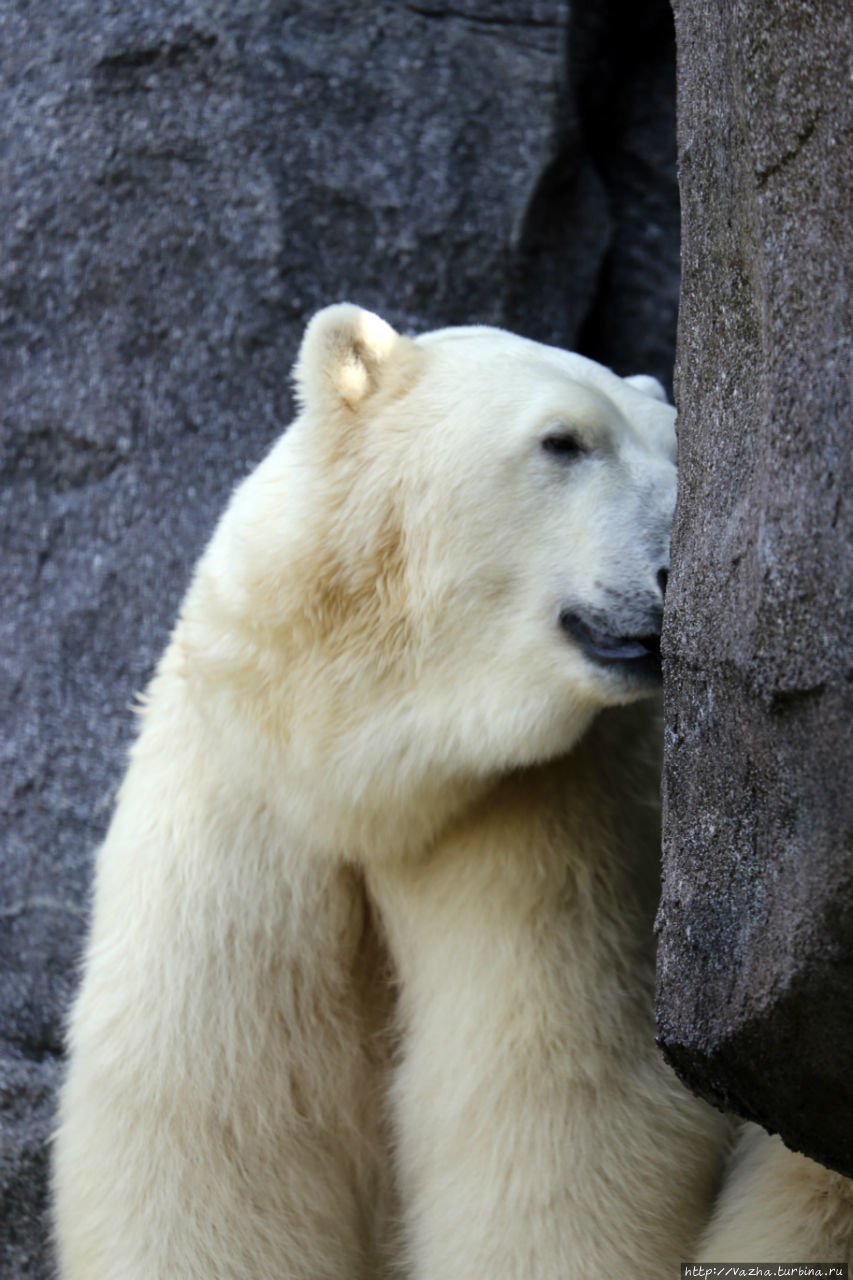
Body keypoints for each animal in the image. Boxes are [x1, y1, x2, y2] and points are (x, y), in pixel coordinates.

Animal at [54, 304, 850, 1274]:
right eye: (561, 441)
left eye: (678, 446)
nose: (673, 572)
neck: (373, 770)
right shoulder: (242, 805)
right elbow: (218, 1124)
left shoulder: (547, 813)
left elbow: (556, 1110)